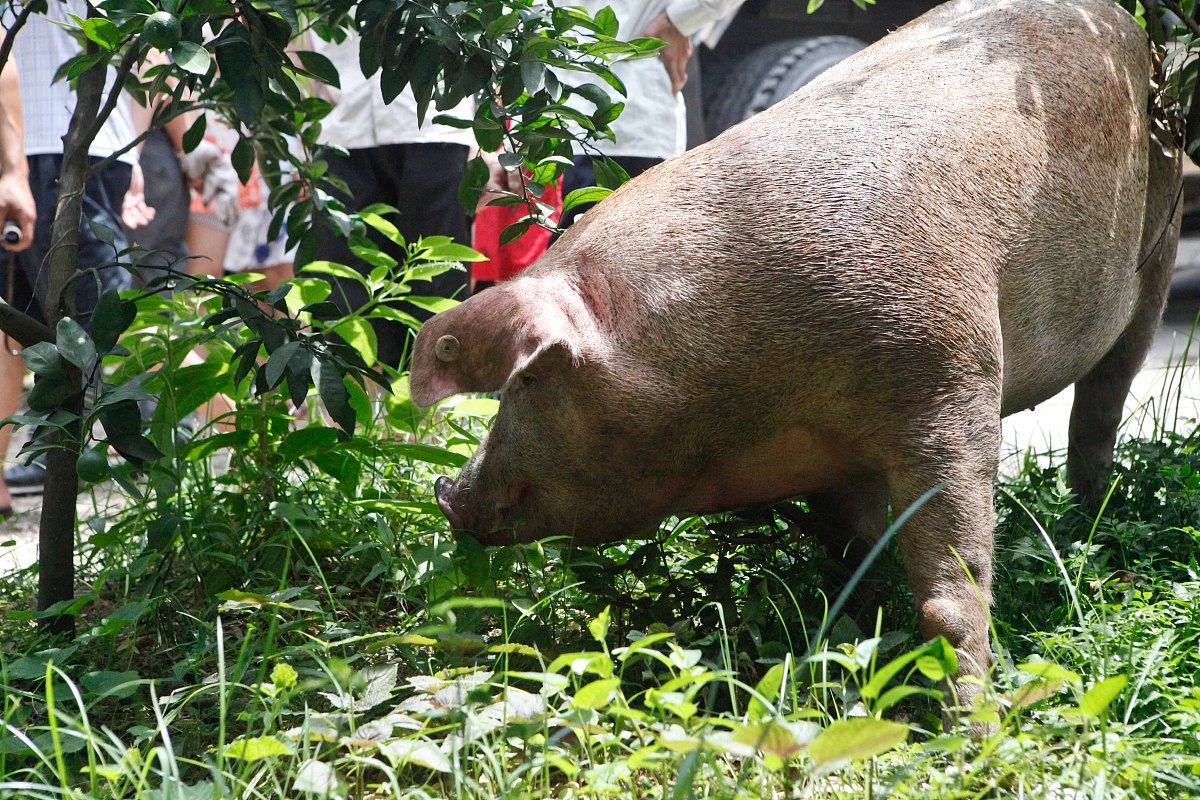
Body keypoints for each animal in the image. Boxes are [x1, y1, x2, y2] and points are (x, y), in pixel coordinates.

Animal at [412, 0, 1180, 714]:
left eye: (528, 381)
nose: (447, 492)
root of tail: (1129, 23)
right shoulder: (835, 457)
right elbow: (850, 554)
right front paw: (852, 644)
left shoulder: (953, 381)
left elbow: (952, 588)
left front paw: (970, 734)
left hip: (1161, 228)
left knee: (1106, 394)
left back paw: (1090, 517)